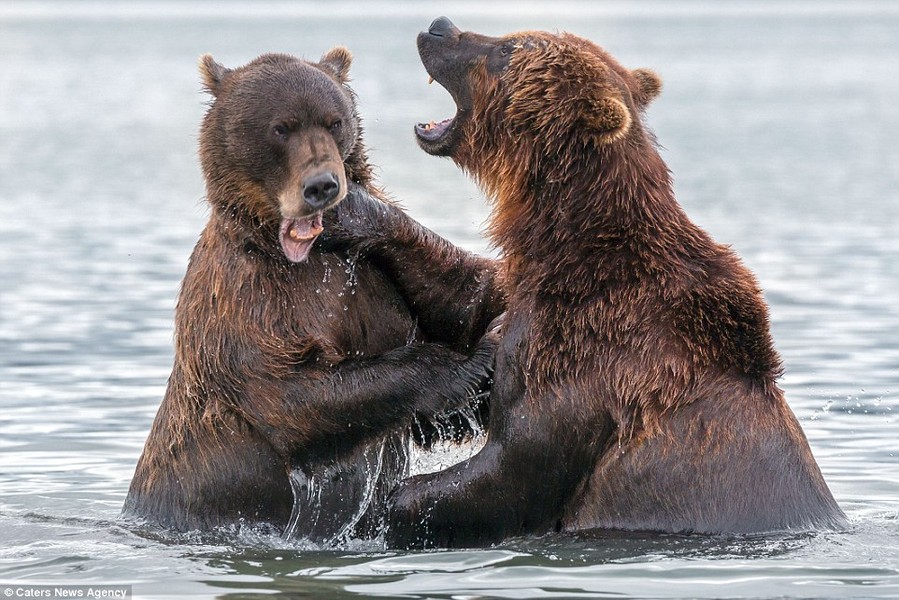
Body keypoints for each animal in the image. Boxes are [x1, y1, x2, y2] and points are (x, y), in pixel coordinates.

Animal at [125, 49, 506, 540]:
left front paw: (359, 214)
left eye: (334, 121)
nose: (322, 185)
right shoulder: (242, 301)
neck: (295, 254)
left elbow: (463, 305)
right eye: (280, 127)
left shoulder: (370, 284)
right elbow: (295, 395)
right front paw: (476, 358)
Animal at [362, 16, 848, 548]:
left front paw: (385, 506)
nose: (439, 26)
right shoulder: (527, 298)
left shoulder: (590, 357)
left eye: (509, 49)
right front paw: (362, 214)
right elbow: (469, 311)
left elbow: (513, 469)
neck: (564, 243)